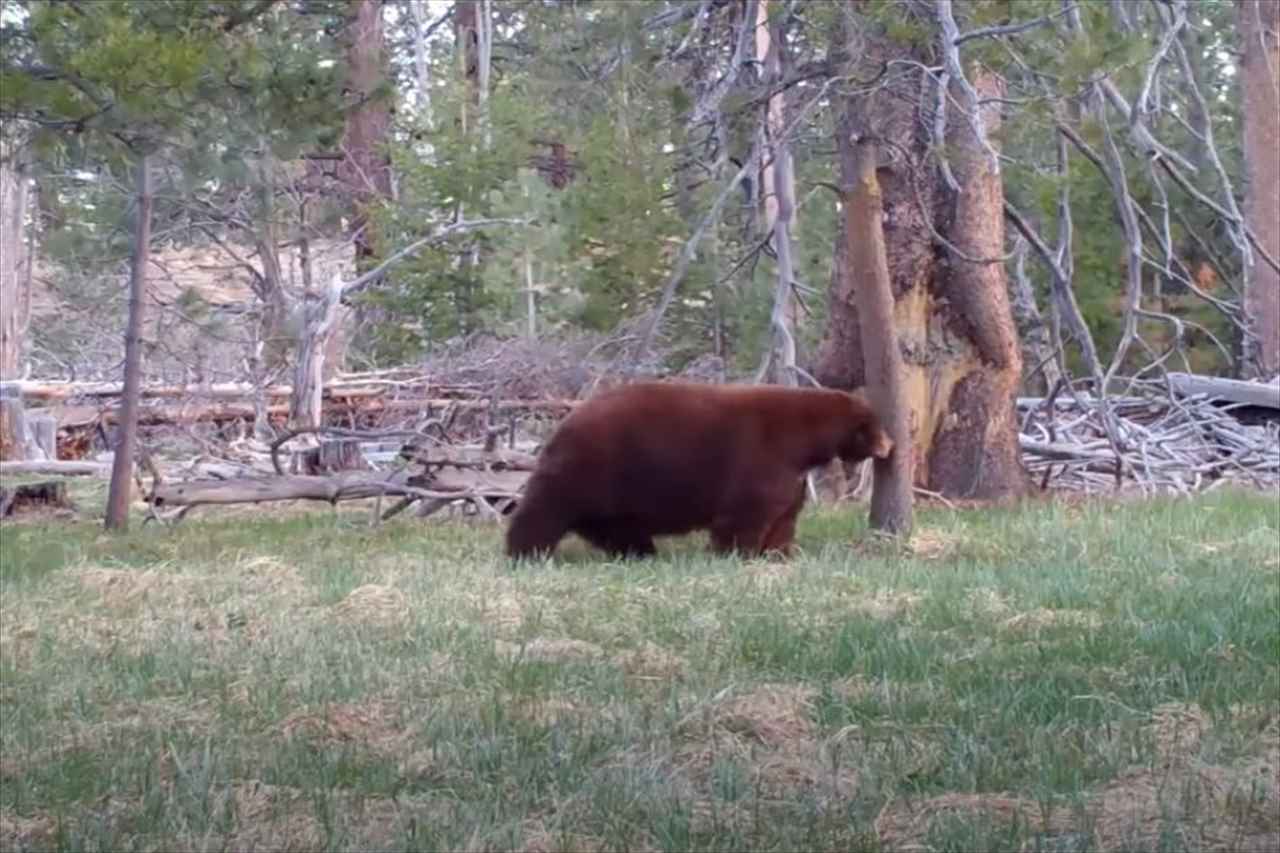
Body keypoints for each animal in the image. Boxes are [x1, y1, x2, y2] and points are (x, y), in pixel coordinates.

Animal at [504, 379, 896, 558]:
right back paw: (524, 552)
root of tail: (566, 420)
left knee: (614, 527)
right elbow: (746, 511)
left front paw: (780, 552)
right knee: (544, 510)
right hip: (590, 466)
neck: (804, 438)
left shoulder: (791, 474)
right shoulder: (764, 456)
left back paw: (641, 552)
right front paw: (737, 552)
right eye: (875, 425)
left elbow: (784, 514)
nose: (890, 446)